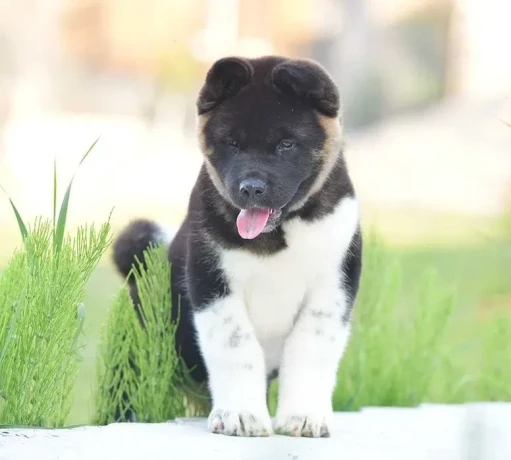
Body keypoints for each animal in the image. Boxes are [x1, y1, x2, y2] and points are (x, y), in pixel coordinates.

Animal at [115, 54, 364, 438]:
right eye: (232, 143)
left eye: (286, 145)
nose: (251, 188)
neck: (279, 234)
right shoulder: (213, 283)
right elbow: (237, 349)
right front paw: (241, 415)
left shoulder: (332, 288)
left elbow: (309, 350)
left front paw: (303, 416)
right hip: (137, 354)